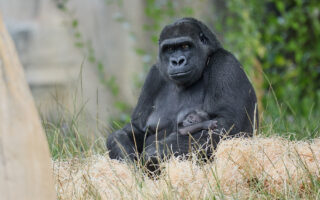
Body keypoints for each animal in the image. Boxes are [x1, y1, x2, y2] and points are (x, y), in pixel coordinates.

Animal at [106, 17, 258, 163]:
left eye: (185, 46)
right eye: (169, 49)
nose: (177, 61)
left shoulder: (225, 63)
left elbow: (226, 125)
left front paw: (155, 152)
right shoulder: (154, 75)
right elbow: (137, 129)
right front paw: (125, 155)